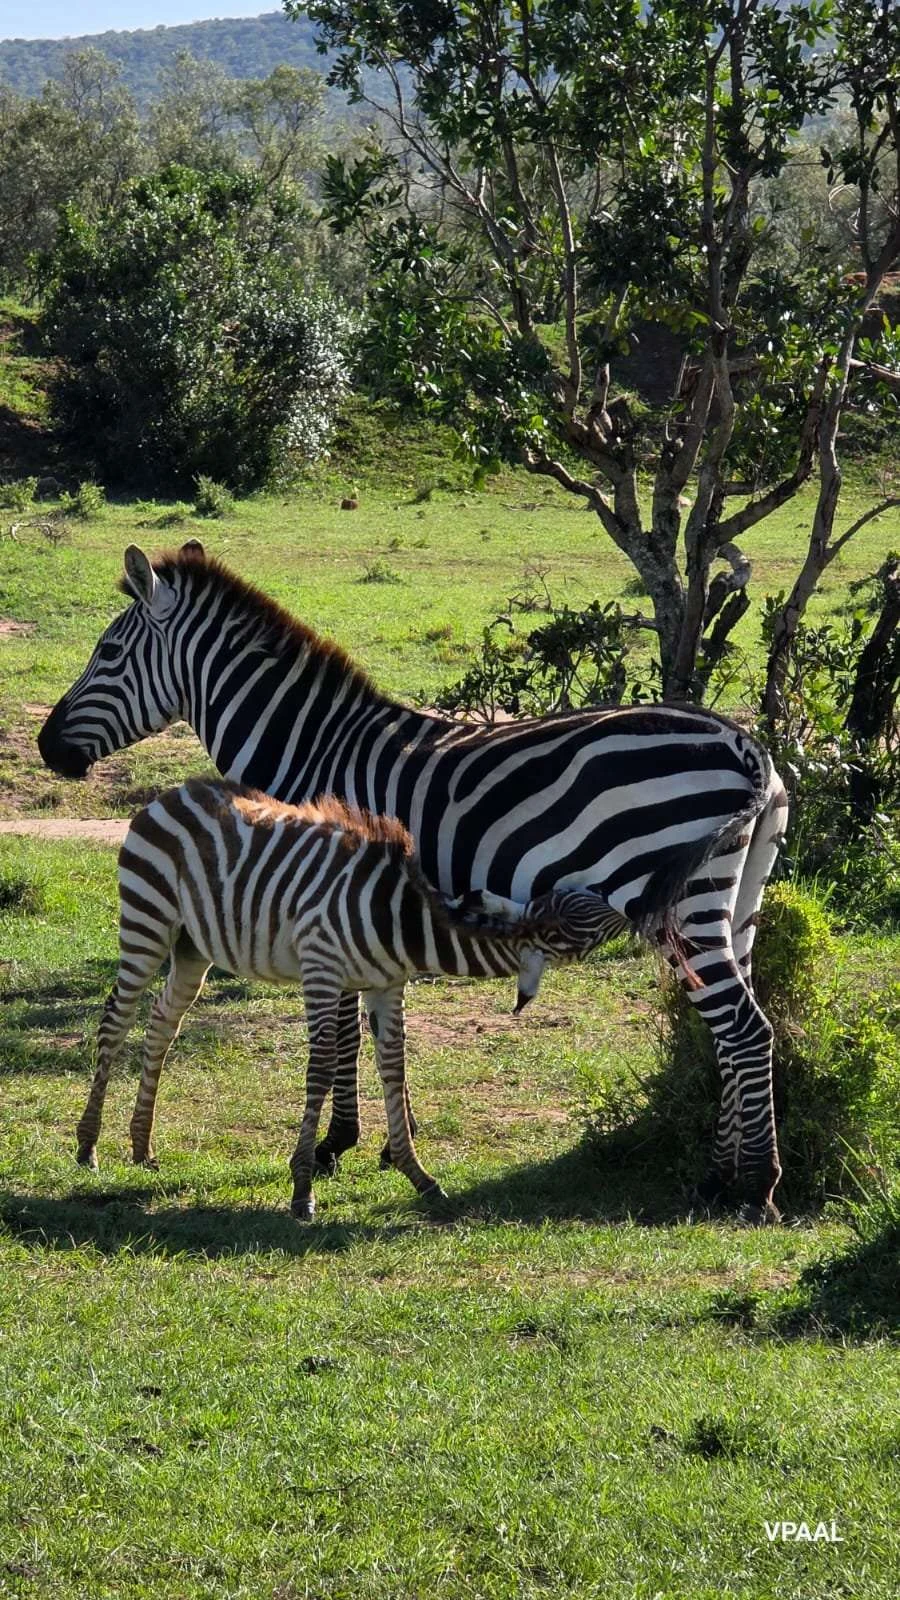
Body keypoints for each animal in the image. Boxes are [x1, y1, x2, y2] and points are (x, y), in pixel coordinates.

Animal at [76, 778, 625, 1218]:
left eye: (584, 904)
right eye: (582, 923)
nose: (633, 907)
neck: (402, 922)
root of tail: (173, 792)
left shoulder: (385, 985)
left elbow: (394, 1065)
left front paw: (416, 1173)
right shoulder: (322, 969)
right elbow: (321, 1070)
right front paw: (302, 1187)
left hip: (192, 946)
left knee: (162, 1023)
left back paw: (142, 1145)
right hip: (147, 920)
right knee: (115, 1020)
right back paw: (88, 1146)